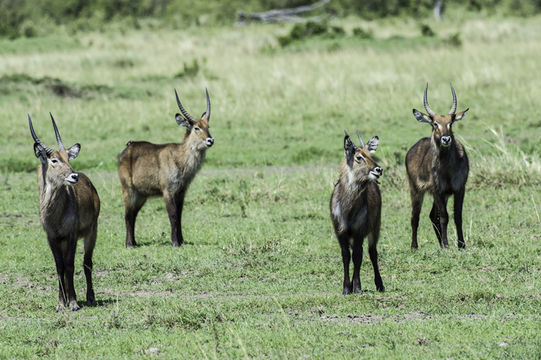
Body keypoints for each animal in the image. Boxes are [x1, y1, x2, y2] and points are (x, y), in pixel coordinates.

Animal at [28, 114, 100, 310]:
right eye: (54, 160)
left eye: (68, 157)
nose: (74, 176)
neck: (55, 214)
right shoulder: (52, 237)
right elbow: (59, 266)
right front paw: (61, 303)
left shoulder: (71, 235)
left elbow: (69, 265)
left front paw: (73, 302)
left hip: (92, 233)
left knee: (87, 263)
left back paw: (90, 297)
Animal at [118, 88, 213, 249]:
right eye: (196, 127)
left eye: (208, 126)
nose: (210, 140)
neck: (180, 159)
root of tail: (128, 147)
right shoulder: (168, 191)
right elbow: (173, 215)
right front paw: (175, 243)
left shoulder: (181, 192)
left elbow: (179, 215)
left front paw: (182, 241)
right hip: (128, 190)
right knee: (127, 215)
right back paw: (129, 244)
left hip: (141, 195)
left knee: (133, 215)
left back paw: (135, 242)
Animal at [330, 131, 384, 294]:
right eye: (359, 157)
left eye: (371, 155)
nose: (379, 169)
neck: (348, 209)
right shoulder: (340, 231)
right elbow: (346, 256)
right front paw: (346, 288)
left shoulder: (359, 230)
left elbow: (358, 256)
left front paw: (357, 286)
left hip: (375, 227)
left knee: (372, 253)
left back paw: (380, 285)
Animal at [404, 83, 468, 249]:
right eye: (435, 123)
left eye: (450, 123)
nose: (446, 139)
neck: (448, 170)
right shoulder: (438, 190)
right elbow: (445, 216)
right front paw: (446, 244)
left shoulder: (459, 189)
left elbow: (457, 216)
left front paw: (461, 244)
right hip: (416, 191)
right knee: (415, 217)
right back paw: (415, 246)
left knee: (433, 215)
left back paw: (439, 244)